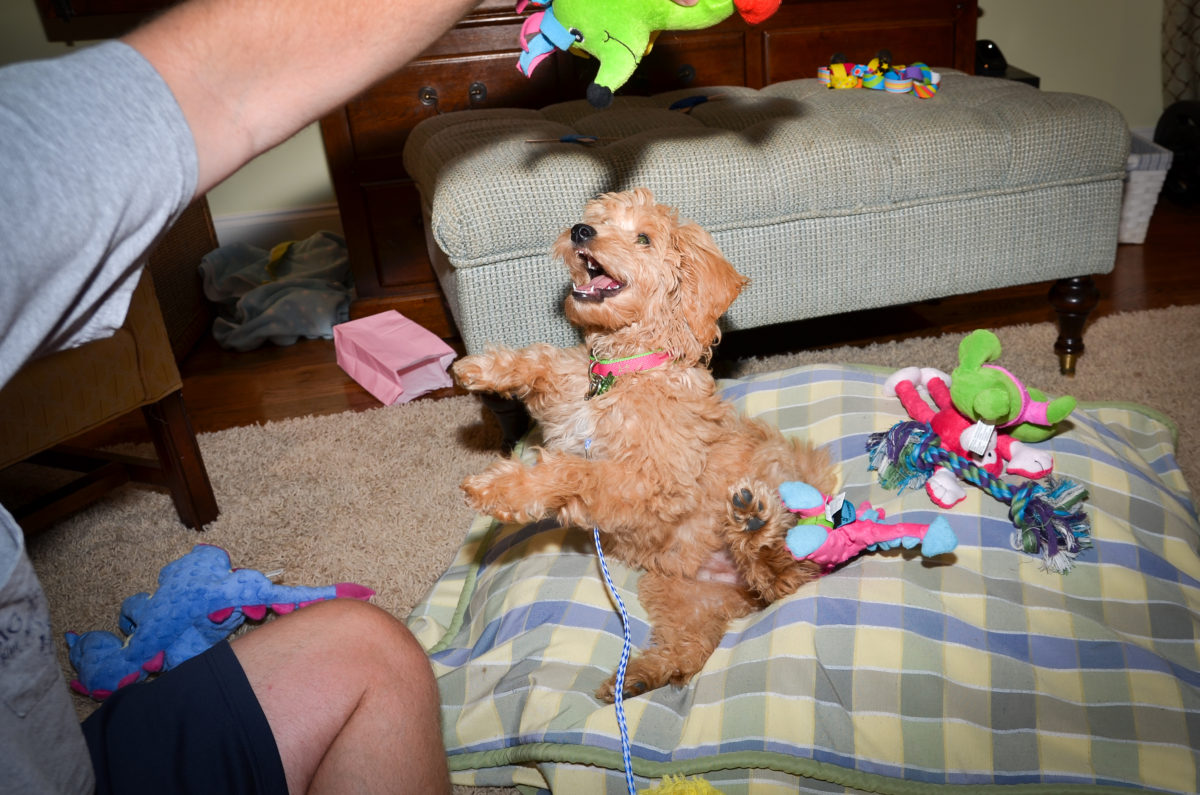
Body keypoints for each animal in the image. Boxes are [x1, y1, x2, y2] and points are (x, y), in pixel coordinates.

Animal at [453, 188, 840, 706]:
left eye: (643, 238)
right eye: (598, 219)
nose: (581, 231)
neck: (623, 371)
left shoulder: (652, 481)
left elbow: (572, 471)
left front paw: (499, 488)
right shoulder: (566, 399)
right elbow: (545, 363)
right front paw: (479, 368)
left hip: (779, 533)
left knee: (782, 574)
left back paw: (753, 524)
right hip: (681, 594)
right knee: (692, 648)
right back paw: (639, 676)